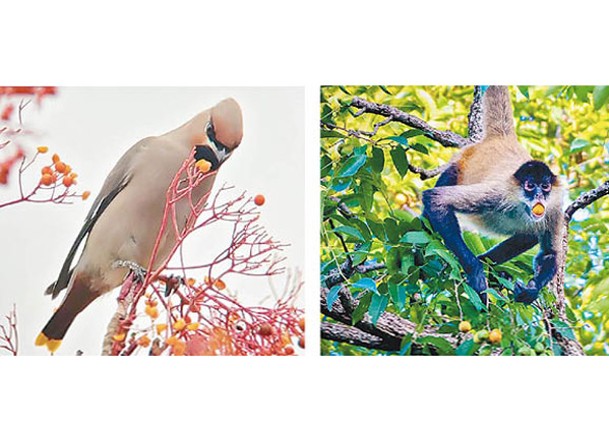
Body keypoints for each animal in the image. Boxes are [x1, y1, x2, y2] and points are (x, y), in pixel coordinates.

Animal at [422, 84, 560, 304]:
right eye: (530, 186)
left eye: (545, 187)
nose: (539, 195)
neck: (522, 207)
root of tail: (502, 138)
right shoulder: (499, 192)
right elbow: (436, 200)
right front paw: (475, 270)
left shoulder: (555, 206)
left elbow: (549, 254)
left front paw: (531, 290)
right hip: (459, 164)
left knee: (529, 235)